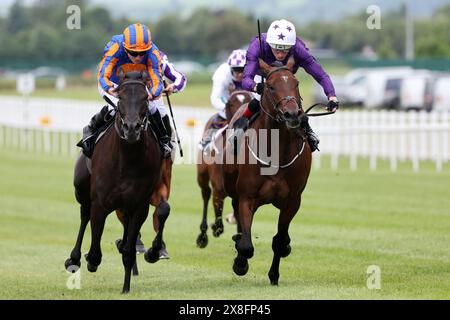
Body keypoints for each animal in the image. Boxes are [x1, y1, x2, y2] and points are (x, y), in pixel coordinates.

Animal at [65, 70, 165, 292]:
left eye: (145, 98)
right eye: (120, 98)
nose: (132, 128)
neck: (127, 159)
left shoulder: (139, 206)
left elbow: (129, 251)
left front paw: (126, 287)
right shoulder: (100, 203)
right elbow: (95, 250)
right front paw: (90, 260)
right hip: (82, 190)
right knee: (84, 216)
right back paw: (74, 259)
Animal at [197, 90, 253, 248]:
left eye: (248, 100)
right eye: (231, 104)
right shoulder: (218, 188)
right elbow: (218, 220)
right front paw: (215, 227)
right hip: (202, 175)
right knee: (205, 193)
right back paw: (203, 235)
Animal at [222, 58, 312, 286]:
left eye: (297, 83)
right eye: (270, 86)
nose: (292, 115)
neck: (277, 152)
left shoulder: (292, 201)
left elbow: (279, 241)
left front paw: (274, 274)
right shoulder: (247, 197)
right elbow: (246, 244)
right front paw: (240, 263)